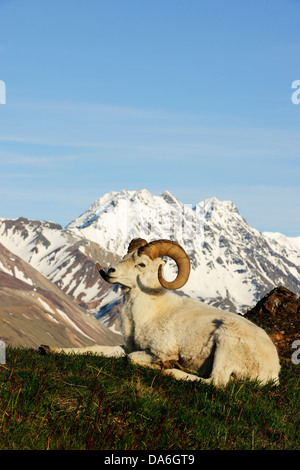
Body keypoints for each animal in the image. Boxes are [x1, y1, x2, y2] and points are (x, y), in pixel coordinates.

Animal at [41, 237, 280, 388]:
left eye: (141, 264)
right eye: (126, 256)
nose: (110, 271)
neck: (147, 315)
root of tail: (273, 370)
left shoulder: (157, 351)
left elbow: (131, 359)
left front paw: (164, 364)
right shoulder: (126, 346)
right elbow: (95, 349)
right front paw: (48, 349)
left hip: (226, 341)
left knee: (216, 382)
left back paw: (170, 370)